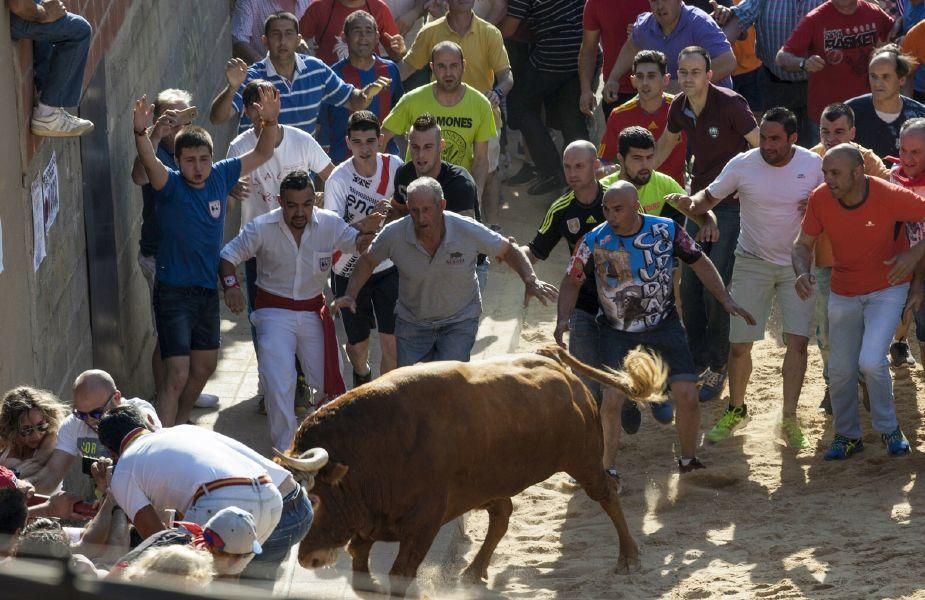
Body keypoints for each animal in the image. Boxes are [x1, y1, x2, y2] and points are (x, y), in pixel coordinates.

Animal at [274, 342, 664, 596]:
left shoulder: (423, 525)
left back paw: (629, 557)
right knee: (502, 515)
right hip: (490, 484)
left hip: (584, 459)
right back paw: (474, 571)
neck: (370, 450)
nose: (307, 557)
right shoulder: (371, 521)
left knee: (606, 494)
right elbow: (359, 559)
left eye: (315, 499)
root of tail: (549, 358)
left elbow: (400, 574)